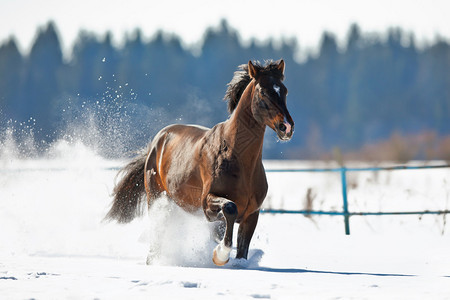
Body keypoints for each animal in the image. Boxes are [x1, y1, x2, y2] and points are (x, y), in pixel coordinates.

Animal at [103, 59, 294, 266]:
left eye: (284, 90)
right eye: (263, 92)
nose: (286, 127)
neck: (240, 161)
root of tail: (156, 143)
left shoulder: (251, 215)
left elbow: (242, 248)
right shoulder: (208, 205)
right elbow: (230, 208)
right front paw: (220, 255)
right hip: (155, 197)